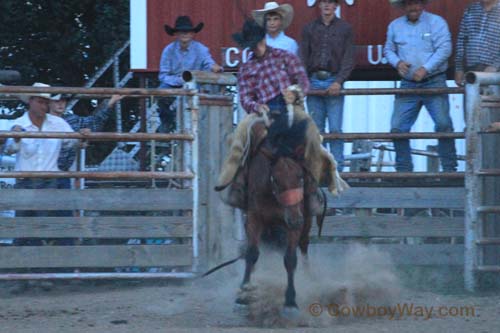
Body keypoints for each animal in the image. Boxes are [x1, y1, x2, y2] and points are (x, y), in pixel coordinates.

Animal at [236, 118, 314, 312]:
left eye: (300, 177)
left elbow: (290, 259)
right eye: (276, 180)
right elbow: (251, 253)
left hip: (306, 222)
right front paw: (244, 293)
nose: (294, 220)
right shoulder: (254, 218)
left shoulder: (296, 222)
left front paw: (290, 300)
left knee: (304, 247)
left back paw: (309, 277)